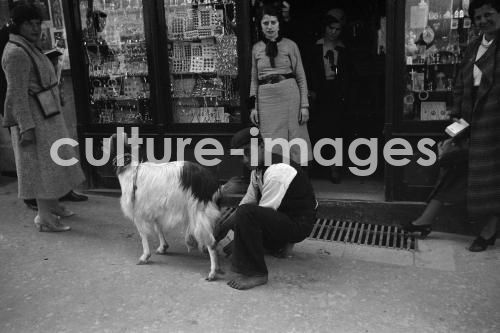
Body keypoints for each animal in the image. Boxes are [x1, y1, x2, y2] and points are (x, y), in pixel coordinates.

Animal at [103, 134, 223, 278]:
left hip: (199, 212)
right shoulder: (154, 208)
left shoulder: (138, 211)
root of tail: (214, 184)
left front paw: (145, 256)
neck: (130, 171)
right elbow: (158, 227)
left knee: (212, 242)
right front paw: (163, 247)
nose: (102, 143)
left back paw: (213, 271)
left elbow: (143, 234)